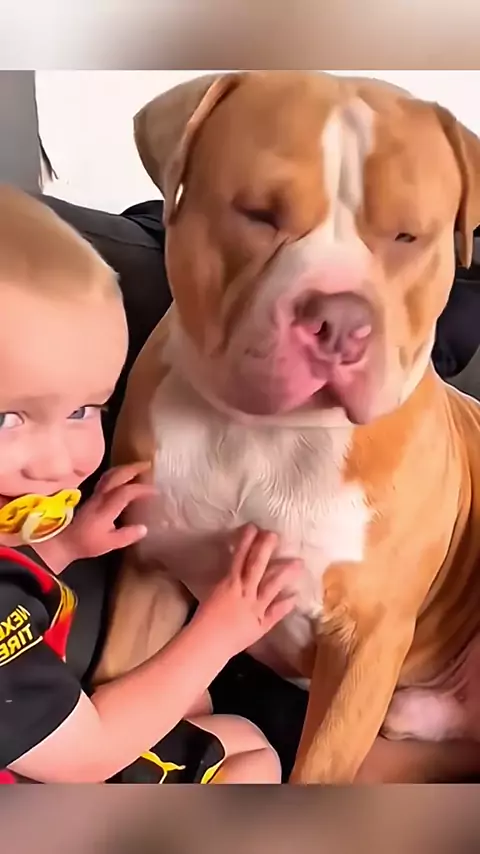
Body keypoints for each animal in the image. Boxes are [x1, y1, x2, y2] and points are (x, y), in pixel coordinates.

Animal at [95, 71, 480, 783]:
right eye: (257, 213)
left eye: (408, 237)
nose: (340, 319)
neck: (270, 437)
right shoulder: (150, 574)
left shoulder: (363, 647)